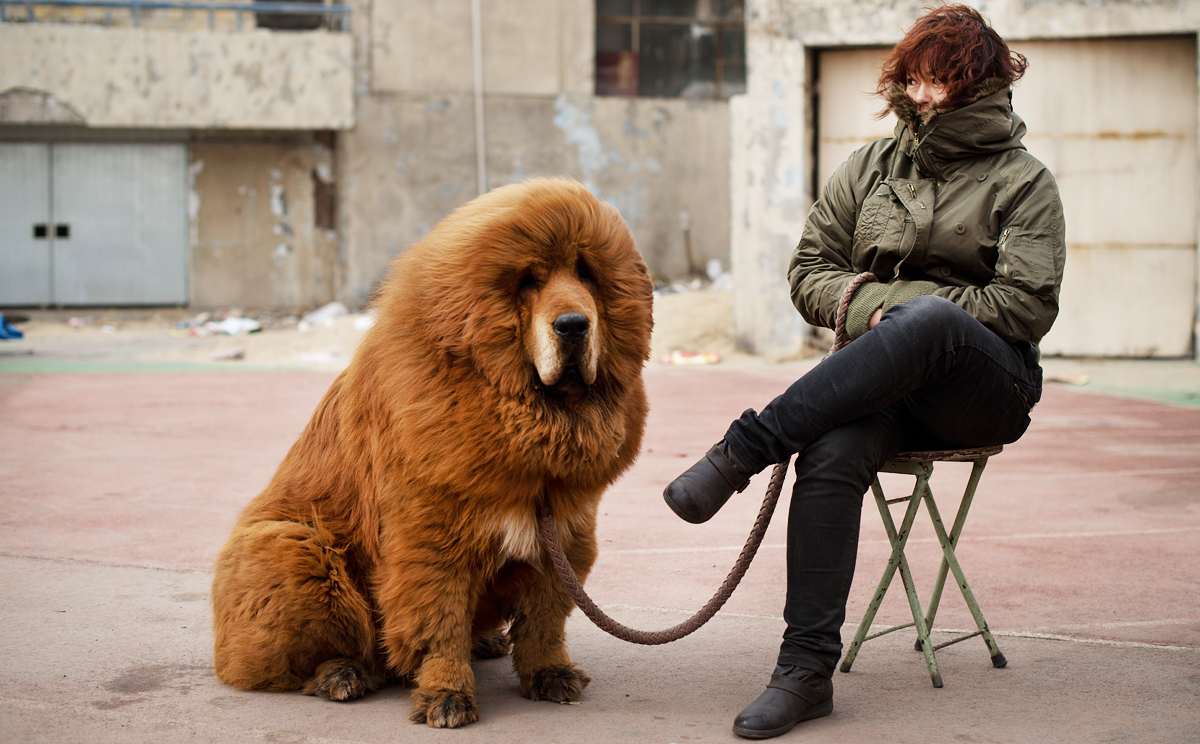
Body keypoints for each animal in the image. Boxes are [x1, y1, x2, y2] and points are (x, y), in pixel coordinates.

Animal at [211, 178, 652, 724]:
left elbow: (544, 621)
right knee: (303, 657)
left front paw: (550, 673)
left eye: (586, 274)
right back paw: (341, 675)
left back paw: (485, 642)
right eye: (528, 281)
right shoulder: (431, 541)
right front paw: (447, 695)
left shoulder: (565, 534)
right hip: (293, 548)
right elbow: (437, 624)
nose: (573, 325)